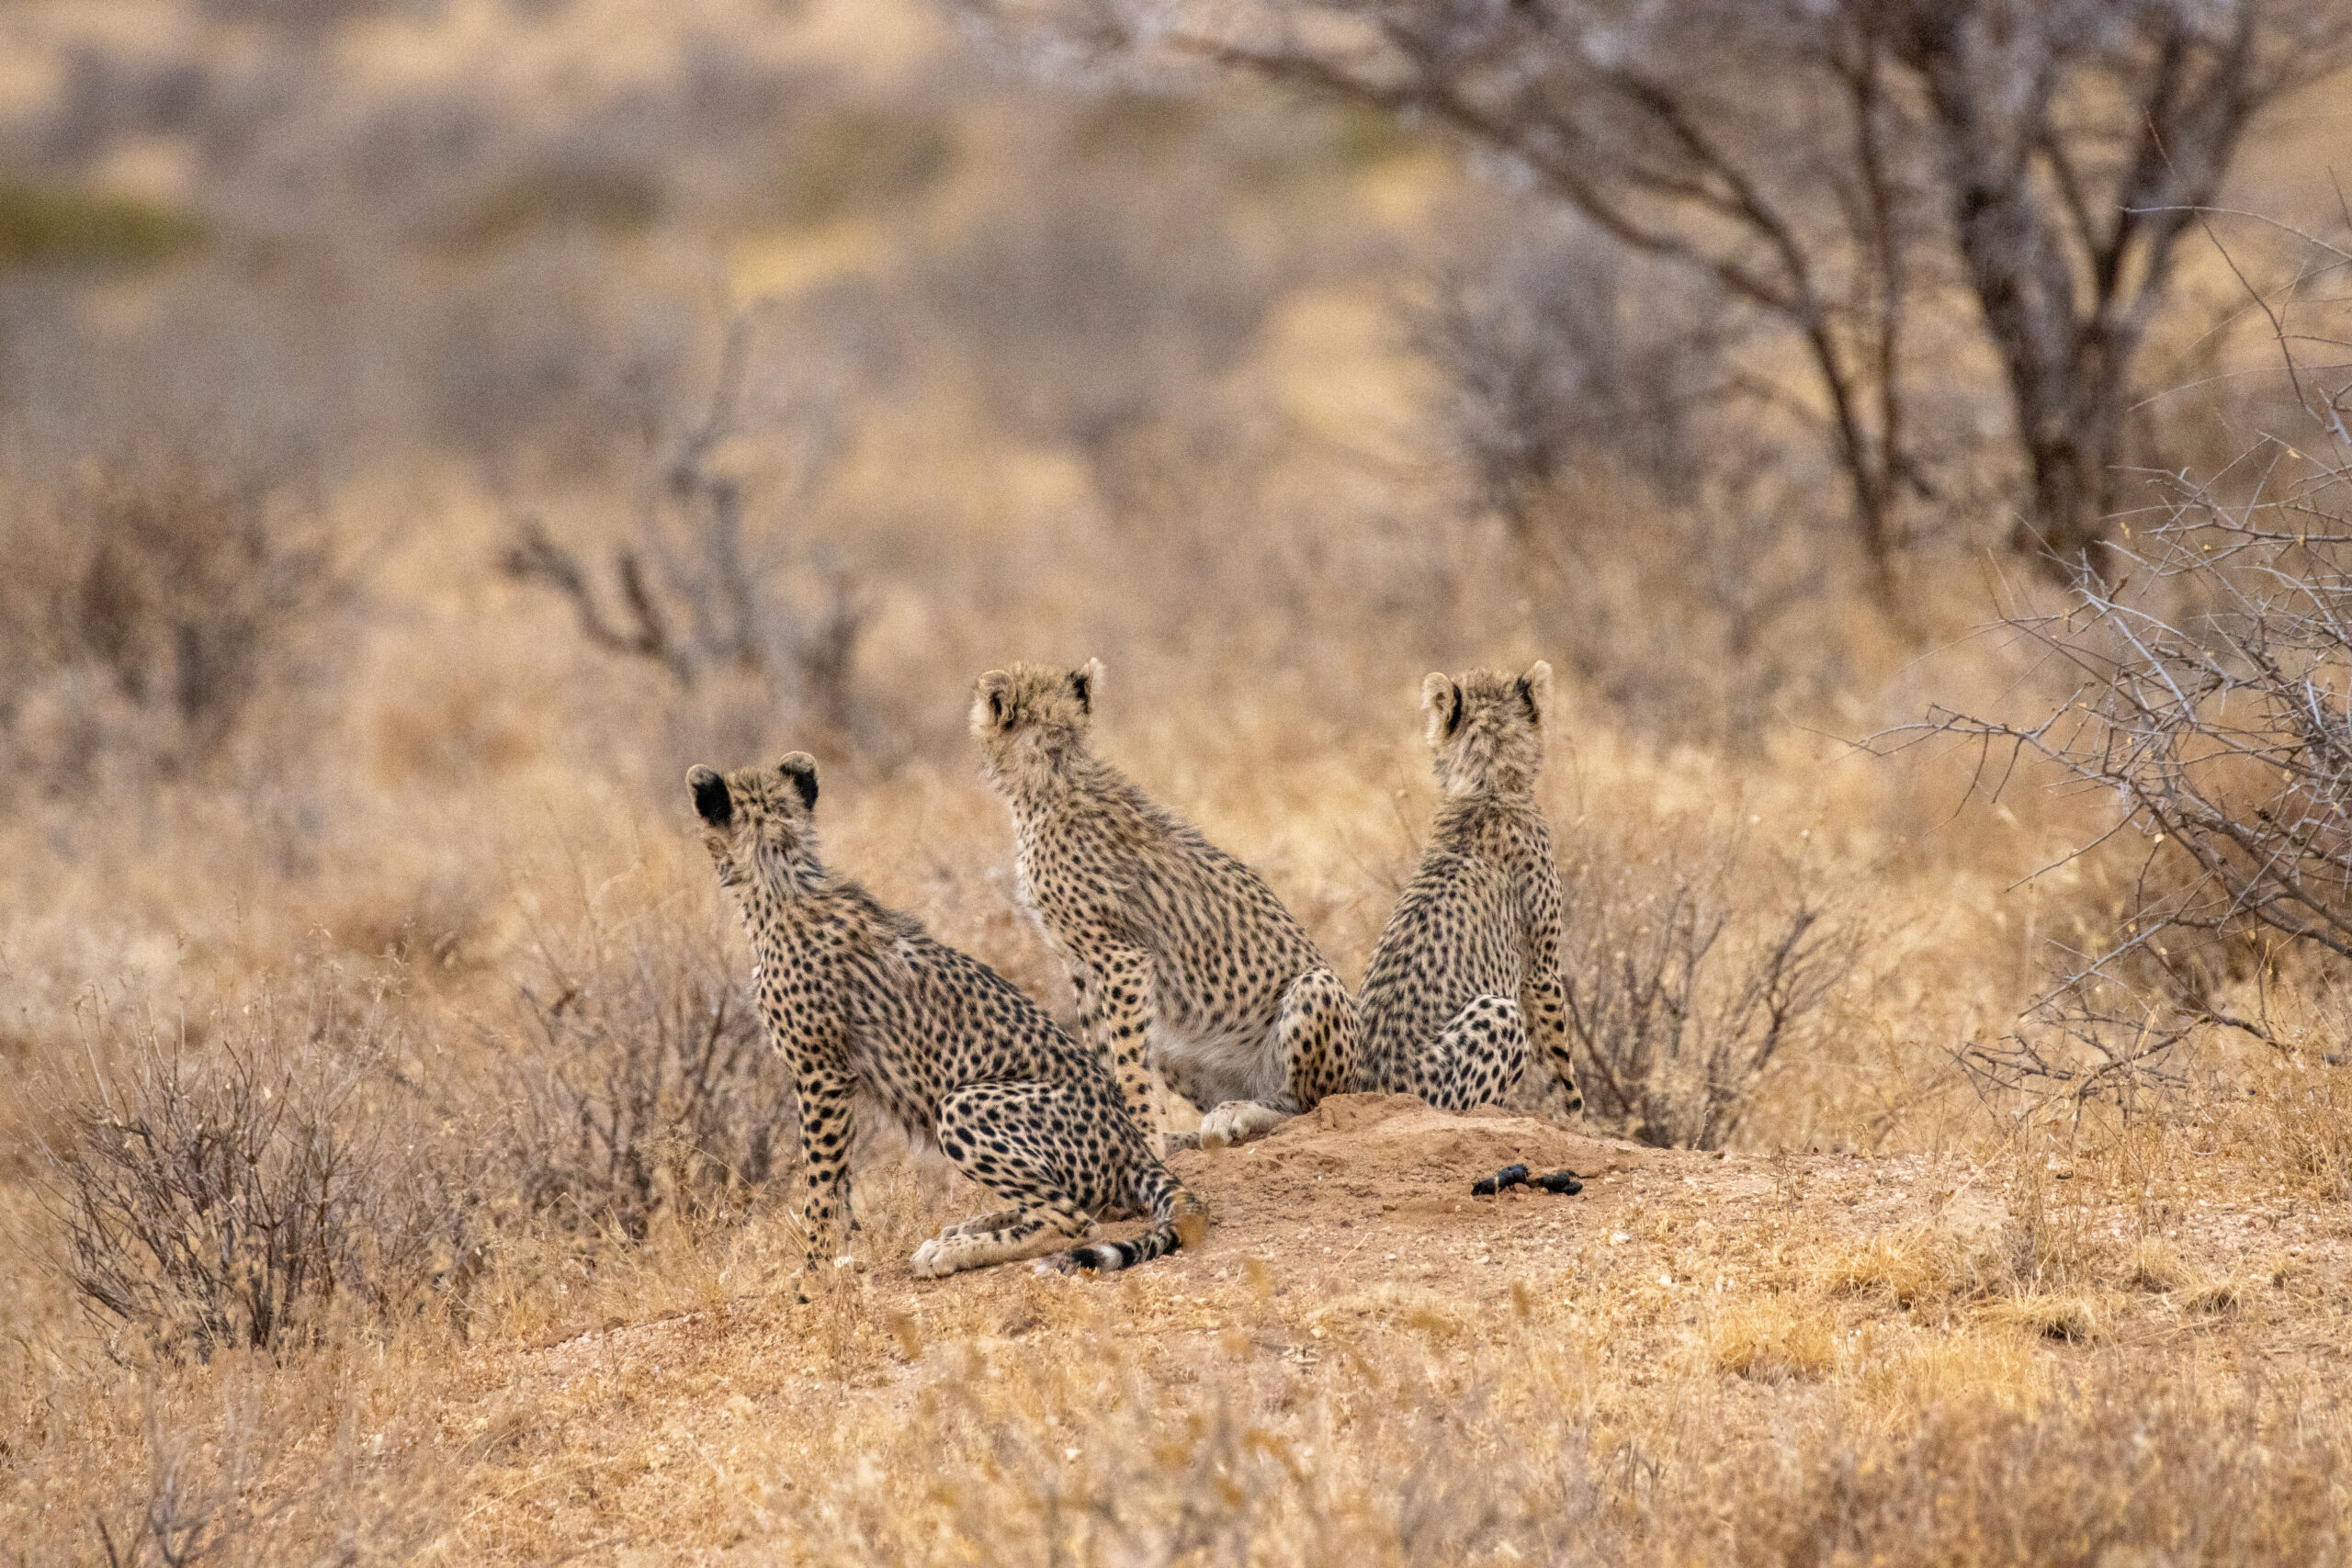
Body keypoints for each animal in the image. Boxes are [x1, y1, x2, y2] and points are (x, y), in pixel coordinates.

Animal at [686, 751, 1204, 1288]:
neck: (782, 882)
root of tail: (1131, 1141)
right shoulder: (832, 1079)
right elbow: (839, 1182)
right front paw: (838, 1259)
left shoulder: (822, 1074)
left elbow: (820, 1183)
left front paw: (812, 1276)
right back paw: (969, 1227)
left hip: (963, 1105)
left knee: (1073, 1221)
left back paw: (949, 1252)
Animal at [964, 662, 1354, 1152]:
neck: (1051, 772)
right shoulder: (1081, 965)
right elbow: (1102, 1054)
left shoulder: (1121, 958)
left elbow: (1130, 1065)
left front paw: (1143, 1139)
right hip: (1174, 1041)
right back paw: (1187, 1136)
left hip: (1315, 990)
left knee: (1301, 1106)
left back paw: (1238, 1115)